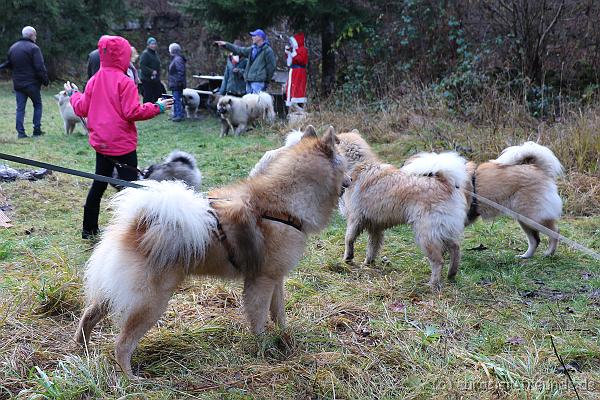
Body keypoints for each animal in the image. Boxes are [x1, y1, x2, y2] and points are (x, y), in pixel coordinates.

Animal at [75, 126, 350, 378]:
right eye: (346, 165)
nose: (350, 181)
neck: (285, 204)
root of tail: (138, 223)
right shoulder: (261, 281)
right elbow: (260, 317)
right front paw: (264, 347)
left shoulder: (276, 278)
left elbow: (279, 312)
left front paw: (285, 336)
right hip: (151, 302)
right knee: (122, 344)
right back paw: (131, 378)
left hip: (119, 290)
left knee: (89, 315)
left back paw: (82, 349)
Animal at [338, 131, 468, 290]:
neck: (359, 165)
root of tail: (444, 182)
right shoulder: (375, 226)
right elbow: (372, 247)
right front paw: (368, 263)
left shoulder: (355, 218)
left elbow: (348, 239)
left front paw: (348, 258)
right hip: (443, 229)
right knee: (456, 248)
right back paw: (451, 274)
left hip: (425, 234)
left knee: (438, 261)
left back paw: (432, 284)